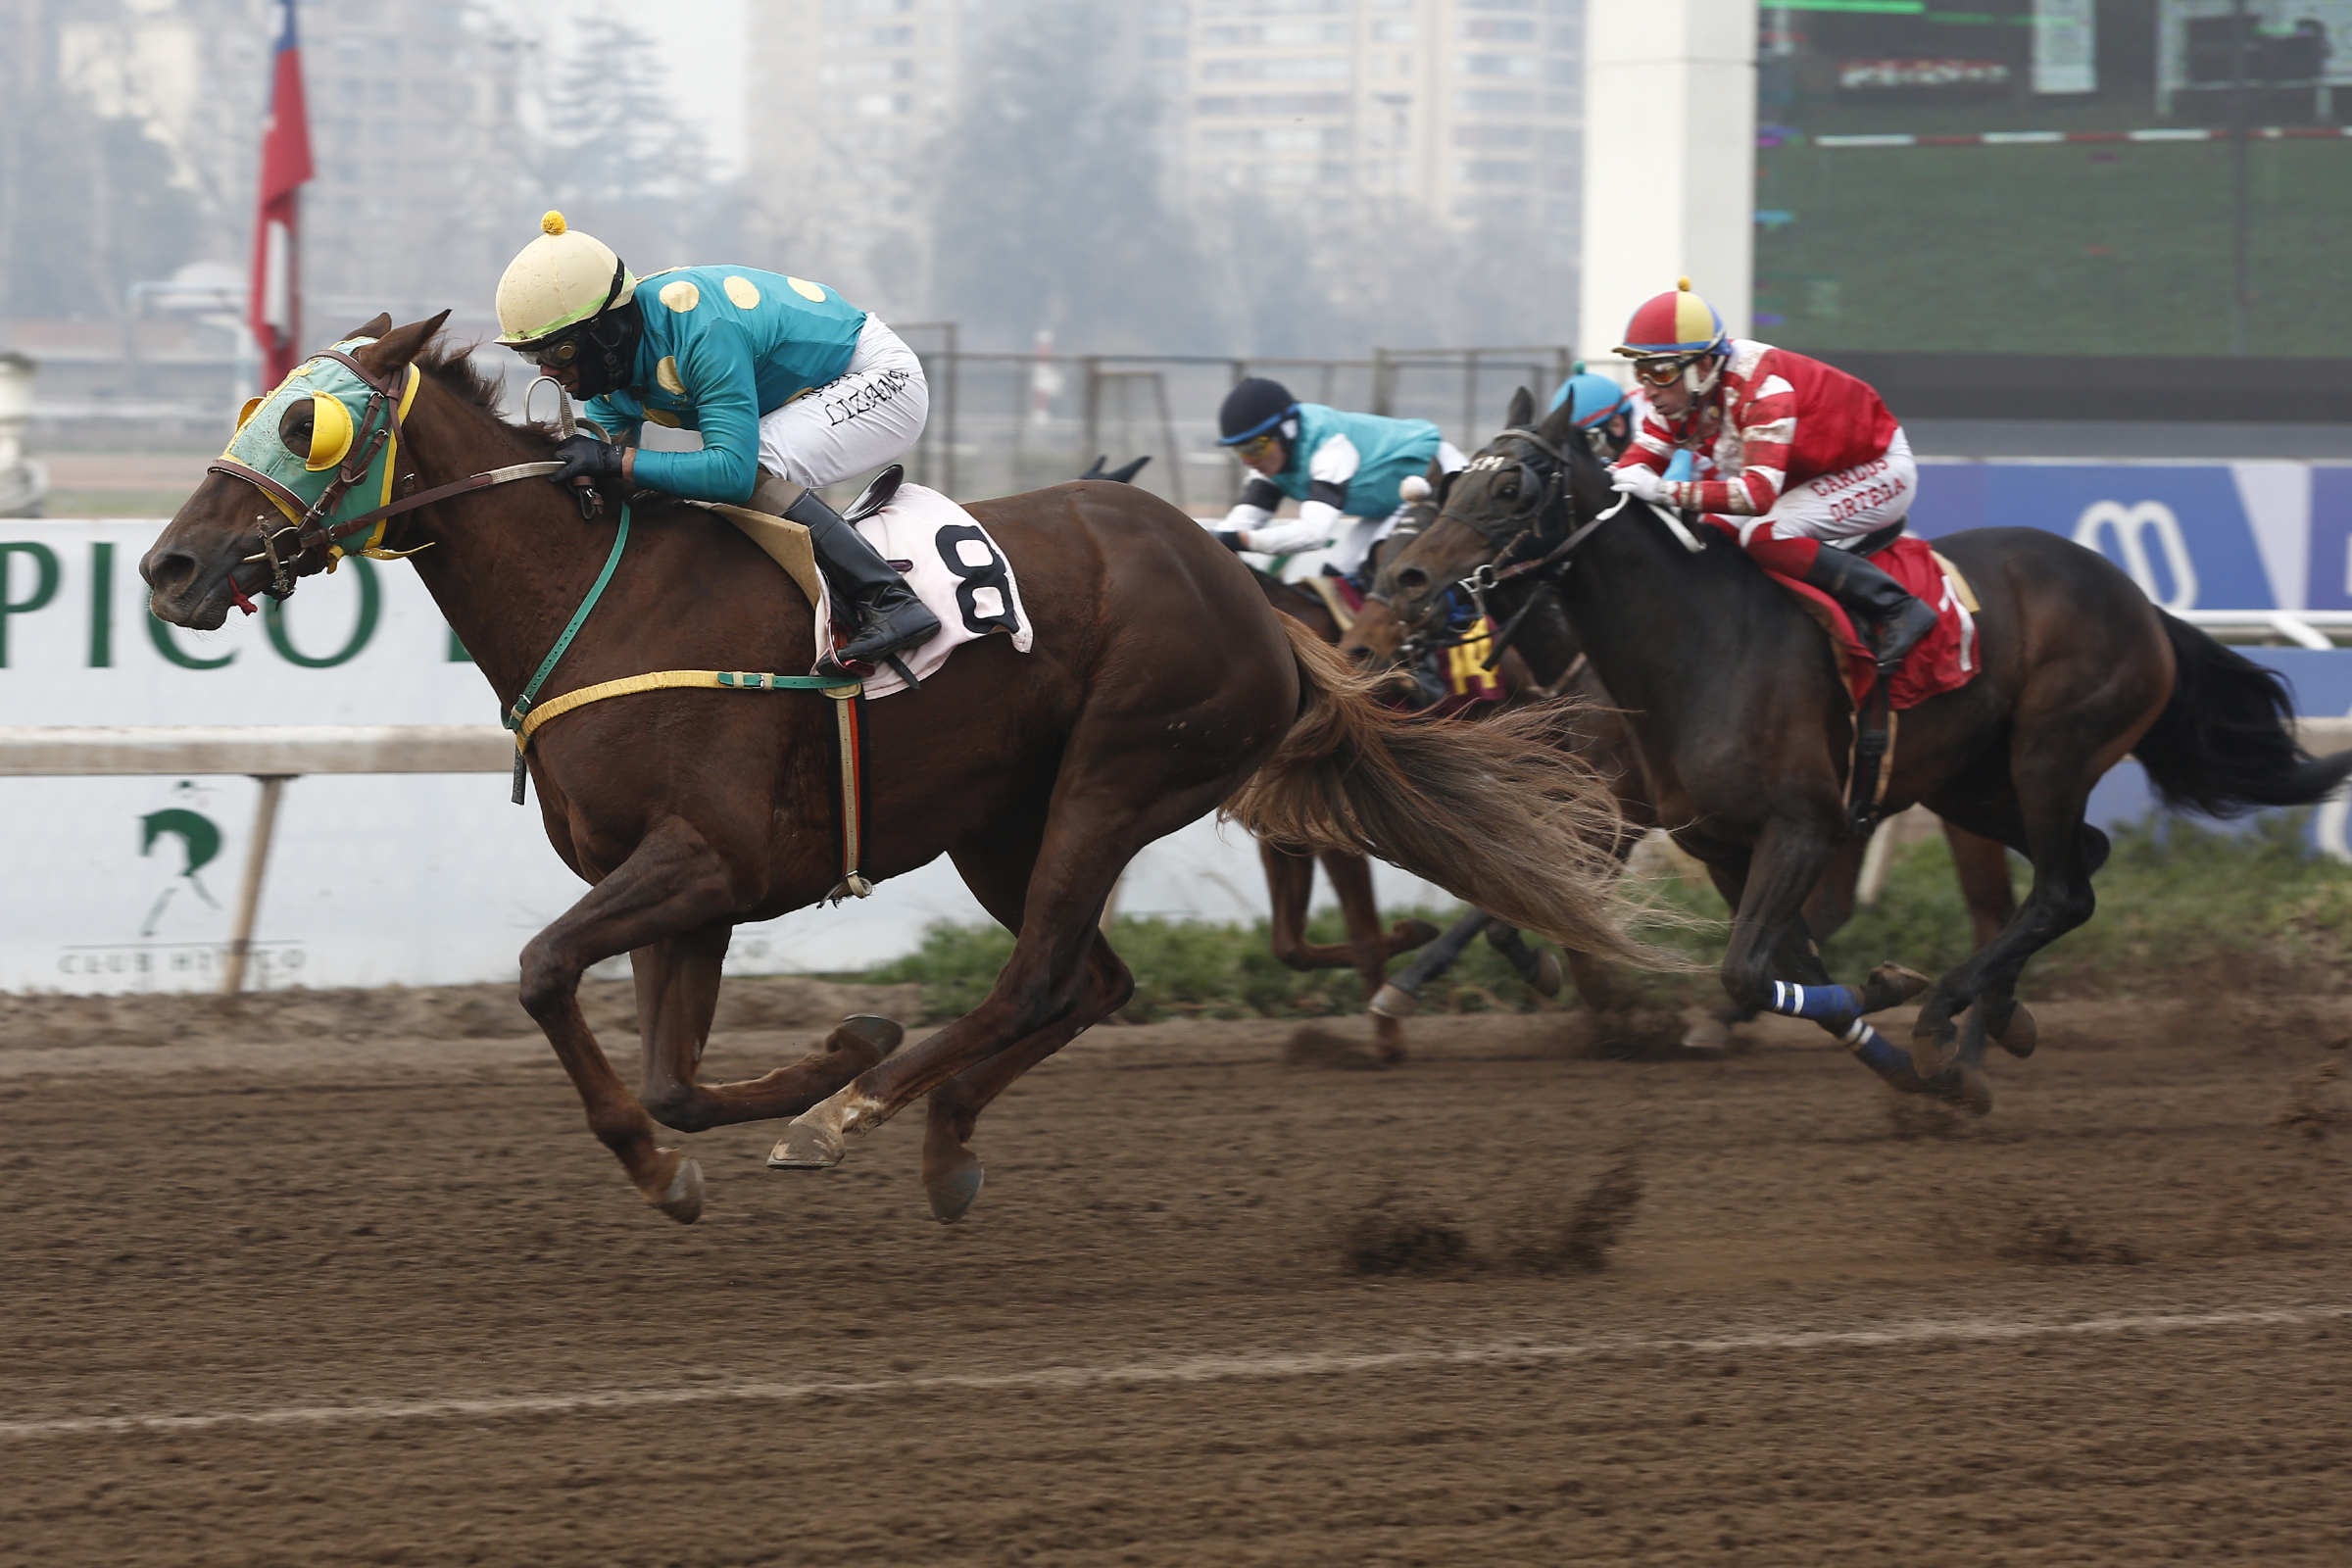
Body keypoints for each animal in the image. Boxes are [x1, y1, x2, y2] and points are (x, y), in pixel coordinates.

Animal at [142, 316, 1649, 1225]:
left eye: (311, 429)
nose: (168, 567)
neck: (604, 593)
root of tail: (1248, 593)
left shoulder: (707, 857)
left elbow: (541, 970)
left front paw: (747, 1124)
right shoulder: (689, 889)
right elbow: (677, 1075)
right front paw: (800, 1073)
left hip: (1117, 776)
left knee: (1042, 976)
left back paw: (864, 1116)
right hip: (1003, 822)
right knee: (1087, 981)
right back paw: (937, 1128)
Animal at [1345, 384, 2352, 1109]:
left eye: (1511, 487)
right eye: (1448, 486)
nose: (1405, 588)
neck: (1697, 645)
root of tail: (2139, 600)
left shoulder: (1786, 823)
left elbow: (1749, 965)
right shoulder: (1715, 840)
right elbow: (1782, 966)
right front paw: (1900, 1049)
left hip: (2053, 749)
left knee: (2062, 887)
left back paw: (1951, 1016)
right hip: (1969, 781)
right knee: (2072, 868)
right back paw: (1992, 1021)